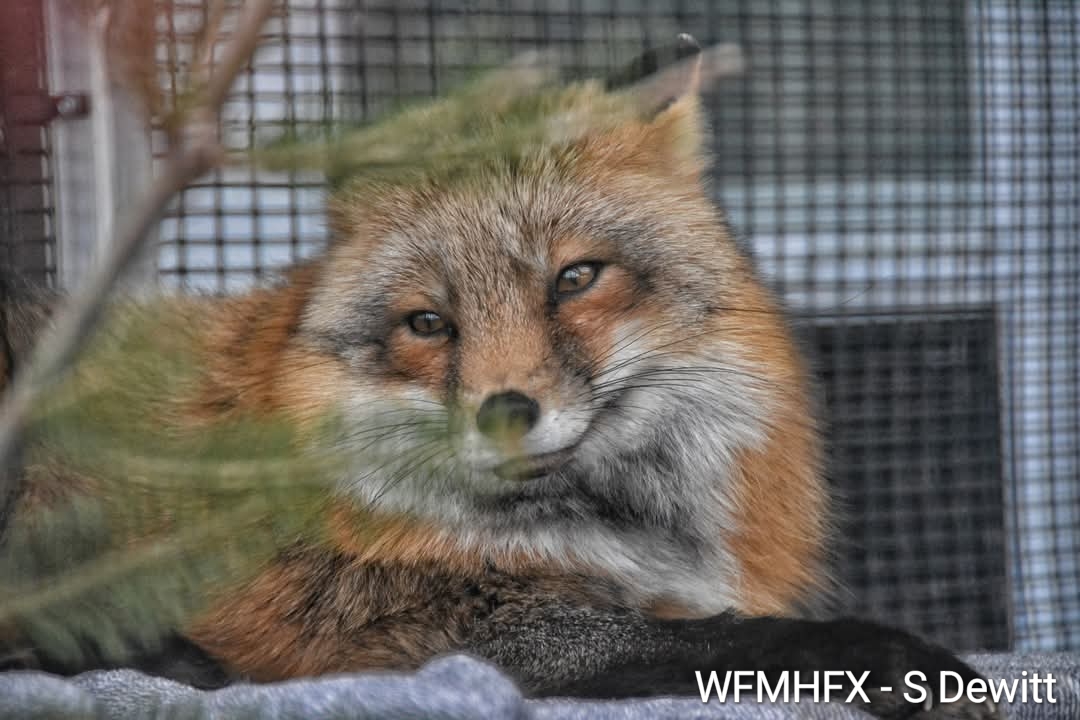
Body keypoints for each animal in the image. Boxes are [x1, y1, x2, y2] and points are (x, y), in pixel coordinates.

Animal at [0, 37, 1000, 719]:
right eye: (428, 324)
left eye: (575, 279)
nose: (505, 413)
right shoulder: (409, 623)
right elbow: (724, 640)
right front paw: (900, 661)